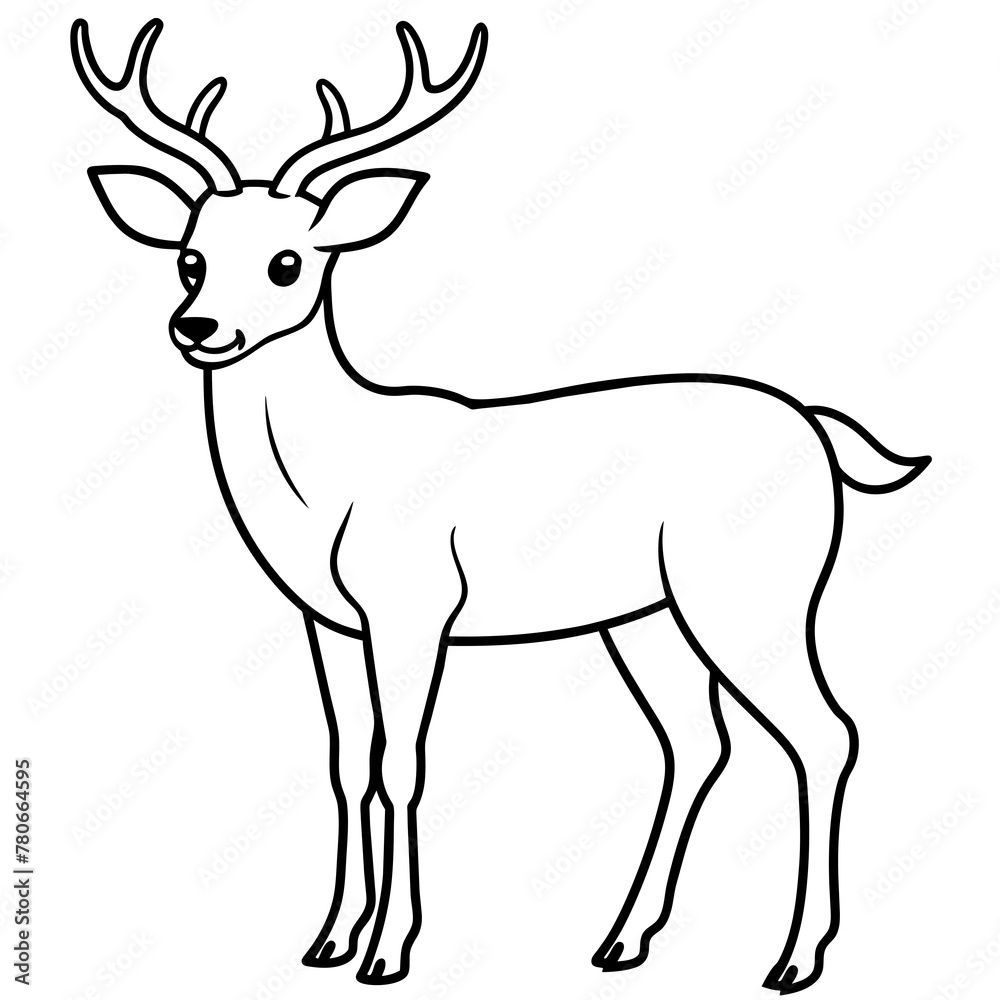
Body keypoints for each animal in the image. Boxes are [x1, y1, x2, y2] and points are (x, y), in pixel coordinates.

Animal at [72, 17, 930, 993]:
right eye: (191, 257)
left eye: (289, 262)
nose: (199, 328)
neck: (330, 481)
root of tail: (820, 432)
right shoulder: (327, 621)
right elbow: (344, 763)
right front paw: (328, 938)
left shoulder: (415, 606)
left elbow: (401, 764)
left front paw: (387, 950)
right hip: (645, 615)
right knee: (696, 741)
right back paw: (624, 938)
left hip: (755, 591)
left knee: (825, 733)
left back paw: (793, 958)